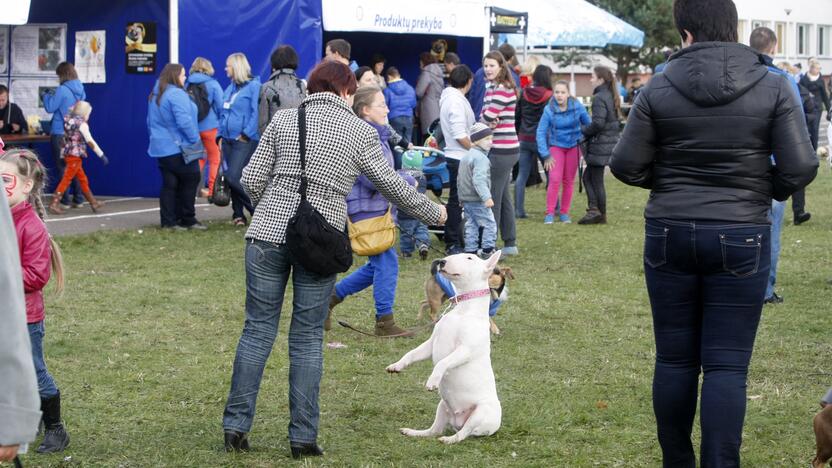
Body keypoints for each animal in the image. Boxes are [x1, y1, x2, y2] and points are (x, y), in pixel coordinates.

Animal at [384, 252, 500, 442]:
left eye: (469, 258)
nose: (442, 262)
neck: (463, 310)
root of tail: (457, 421)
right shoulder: (431, 344)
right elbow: (411, 354)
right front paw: (396, 366)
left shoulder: (465, 350)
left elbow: (442, 362)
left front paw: (432, 381)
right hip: (442, 406)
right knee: (434, 430)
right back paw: (412, 432)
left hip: (480, 413)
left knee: (463, 434)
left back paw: (449, 439)